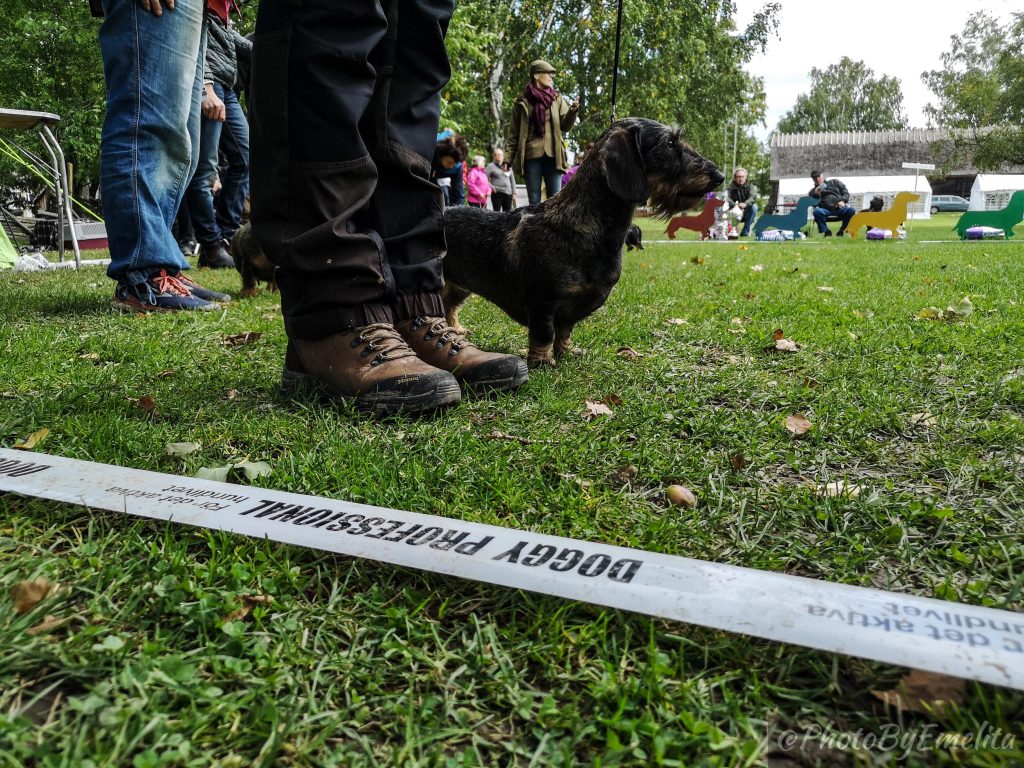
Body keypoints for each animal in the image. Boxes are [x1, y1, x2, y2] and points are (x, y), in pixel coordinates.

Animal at [444, 117, 724, 366]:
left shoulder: (570, 310)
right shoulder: (543, 302)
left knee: (449, 305)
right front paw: (542, 360)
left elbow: (565, 330)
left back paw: (455, 329)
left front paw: (567, 351)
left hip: (460, 285)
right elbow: (544, 333)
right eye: (669, 143)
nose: (720, 176)